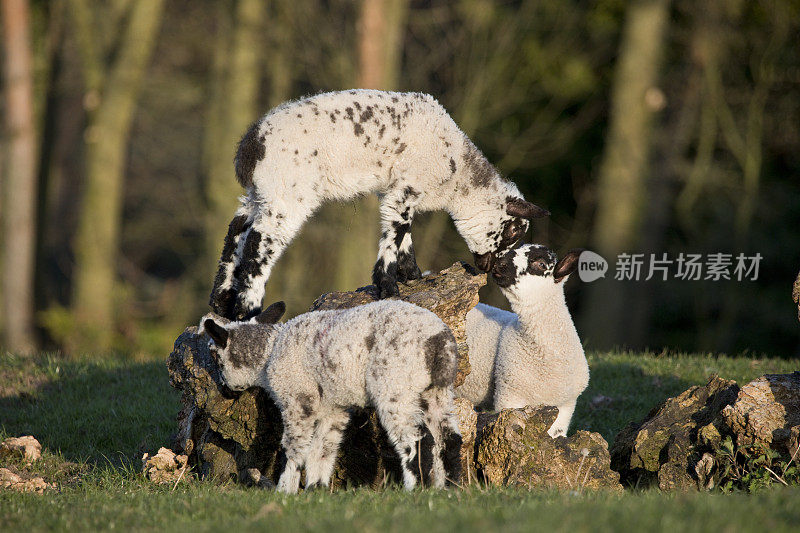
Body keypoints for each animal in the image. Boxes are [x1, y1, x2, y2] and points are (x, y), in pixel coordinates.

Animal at [198, 298, 462, 492]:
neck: (270, 353)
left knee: (415, 441)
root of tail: (436, 340)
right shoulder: (332, 408)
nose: (225, 391)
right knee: (449, 438)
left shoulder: (298, 399)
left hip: (395, 385)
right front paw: (316, 489)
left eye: (215, 357)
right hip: (436, 391)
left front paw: (285, 491)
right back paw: (448, 489)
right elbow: (323, 448)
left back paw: (415, 490)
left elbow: (295, 447)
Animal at [208, 90, 552, 320]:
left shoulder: (396, 189)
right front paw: (388, 287)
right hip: (288, 192)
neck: (457, 173)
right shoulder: (408, 185)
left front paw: (412, 274)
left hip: (260, 191)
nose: (490, 268)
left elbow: (402, 230)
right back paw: (248, 310)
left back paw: (221, 302)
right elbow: (396, 232)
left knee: (236, 230)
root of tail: (252, 143)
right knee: (258, 245)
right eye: (512, 232)